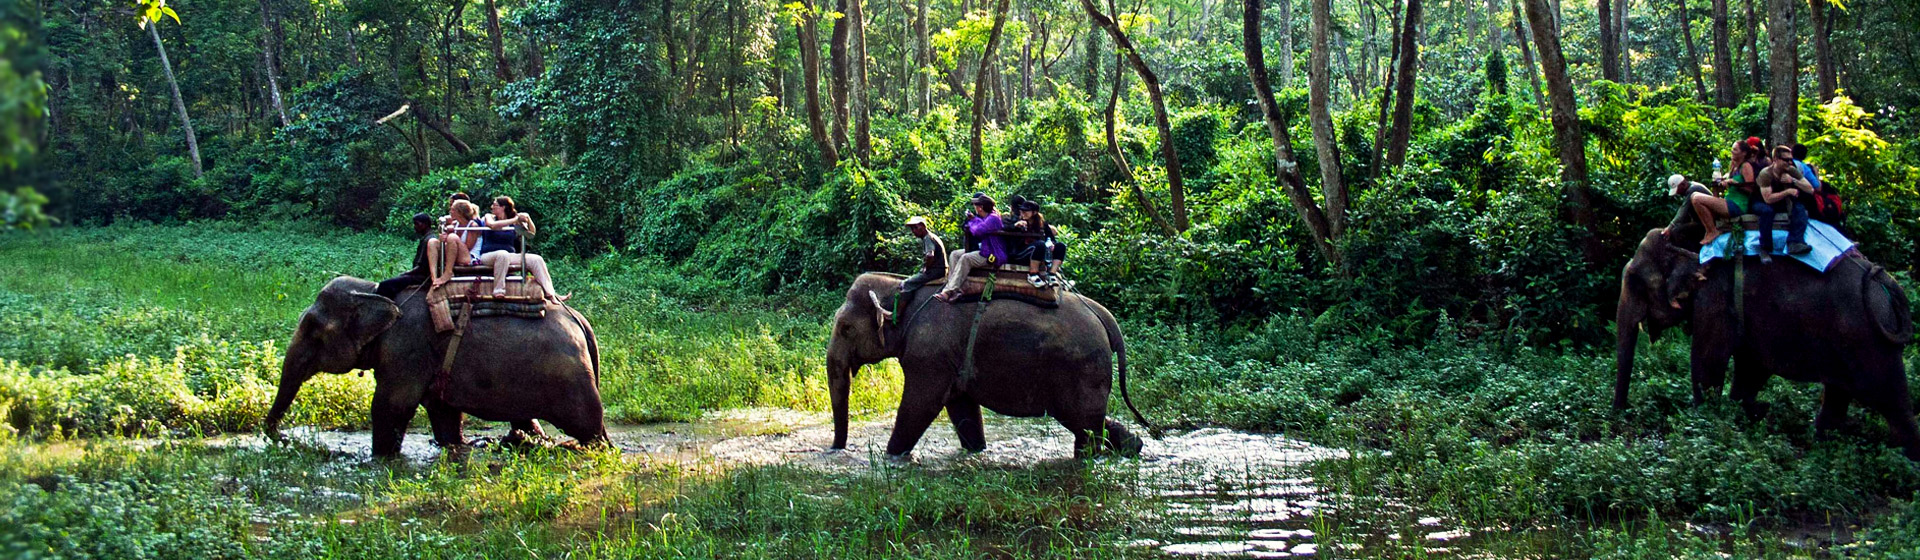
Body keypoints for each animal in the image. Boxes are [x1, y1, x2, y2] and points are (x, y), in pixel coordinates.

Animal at [263, 278, 606, 456]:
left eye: (312, 328)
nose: (284, 438)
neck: (373, 291)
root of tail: (580, 319)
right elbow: (443, 412)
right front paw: (455, 446)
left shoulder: (406, 347)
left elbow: (390, 405)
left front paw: (381, 459)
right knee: (526, 420)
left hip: (570, 379)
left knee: (588, 427)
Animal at [825, 270, 1152, 460]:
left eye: (845, 328)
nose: (836, 449)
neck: (901, 287)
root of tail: (1103, 315)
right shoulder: (949, 357)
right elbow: (961, 406)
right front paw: (976, 450)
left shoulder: (929, 353)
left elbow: (921, 403)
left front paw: (892, 457)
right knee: (1090, 421)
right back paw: (1134, 447)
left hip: (1080, 367)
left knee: (1082, 424)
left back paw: (1088, 458)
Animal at [1612, 227, 1912, 460]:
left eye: (1635, 281)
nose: (1619, 421)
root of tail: (1883, 279)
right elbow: (1750, 367)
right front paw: (1750, 414)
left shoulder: (1715, 299)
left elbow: (1708, 364)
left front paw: (1705, 426)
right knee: (1838, 393)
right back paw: (1823, 447)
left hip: (1869, 342)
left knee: (1891, 400)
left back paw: (1905, 462)